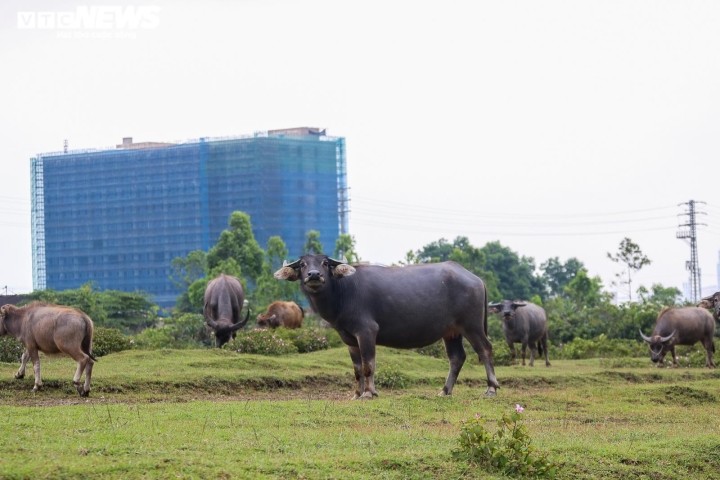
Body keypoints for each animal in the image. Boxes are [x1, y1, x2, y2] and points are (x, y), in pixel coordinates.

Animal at [272, 255, 498, 398]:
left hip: (472, 325)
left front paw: (369, 393)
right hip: (451, 331)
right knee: (457, 357)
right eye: (302, 264)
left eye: (325, 263)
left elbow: (368, 365)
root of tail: (476, 279)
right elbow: (357, 369)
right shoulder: (349, 338)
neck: (343, 291)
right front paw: (357, 393)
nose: (314, 275)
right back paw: (445, 391)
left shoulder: (366, 331)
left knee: (485, 349)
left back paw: (491, 388)